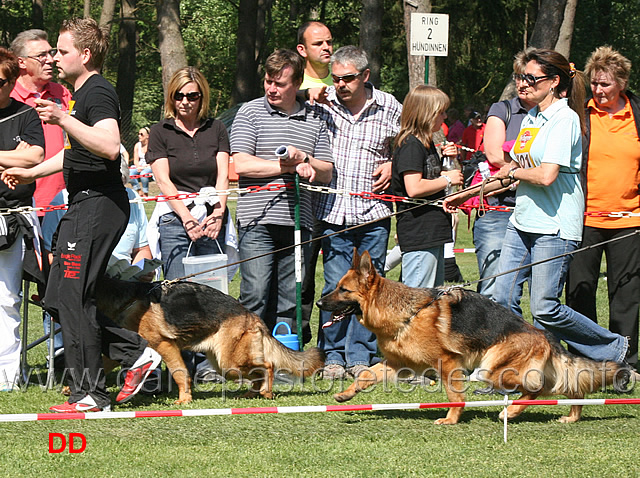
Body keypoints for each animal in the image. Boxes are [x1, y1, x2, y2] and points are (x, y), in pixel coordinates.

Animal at [95, 276, 324, 404]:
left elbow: (180, 373)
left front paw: (184, 399)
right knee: (259, 372)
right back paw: (250, 395)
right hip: (225, 363)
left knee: (267, 366)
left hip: (228, 363)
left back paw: (266, 393)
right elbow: (104, 363)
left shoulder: (164, 345)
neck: (126, 301)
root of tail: (252, 316)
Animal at [318, 248, 636, 424]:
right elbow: (365, 375)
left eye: (343, 290)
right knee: (569, 389)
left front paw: (451, 420)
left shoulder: (448, 364)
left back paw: (511, 413)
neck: (407, 312)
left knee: (537, 389)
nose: (320, 304)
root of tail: (545, 335)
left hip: (493, 370)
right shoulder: (397, 365)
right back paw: (571, 416)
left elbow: (454, 395)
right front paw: (347, 394)